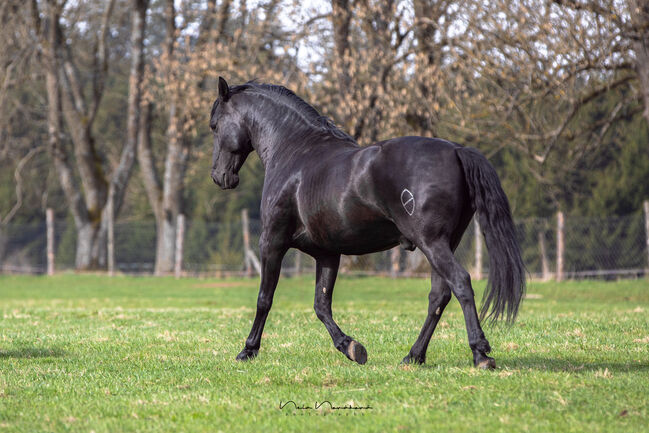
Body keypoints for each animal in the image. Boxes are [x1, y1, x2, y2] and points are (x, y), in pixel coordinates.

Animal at [210, 77, 524, 368]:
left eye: (214, 125)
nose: (219, 176)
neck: (295, 154)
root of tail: (456, 150)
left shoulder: (272, 242)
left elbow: (265, 298)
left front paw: (248, 350)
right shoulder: (327, 254)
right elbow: (321, 305)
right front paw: (351, 347)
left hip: (432, 243)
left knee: (460, 284)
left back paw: (480, 353)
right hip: (444, 244)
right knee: (439, 295)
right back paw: (414, 356)